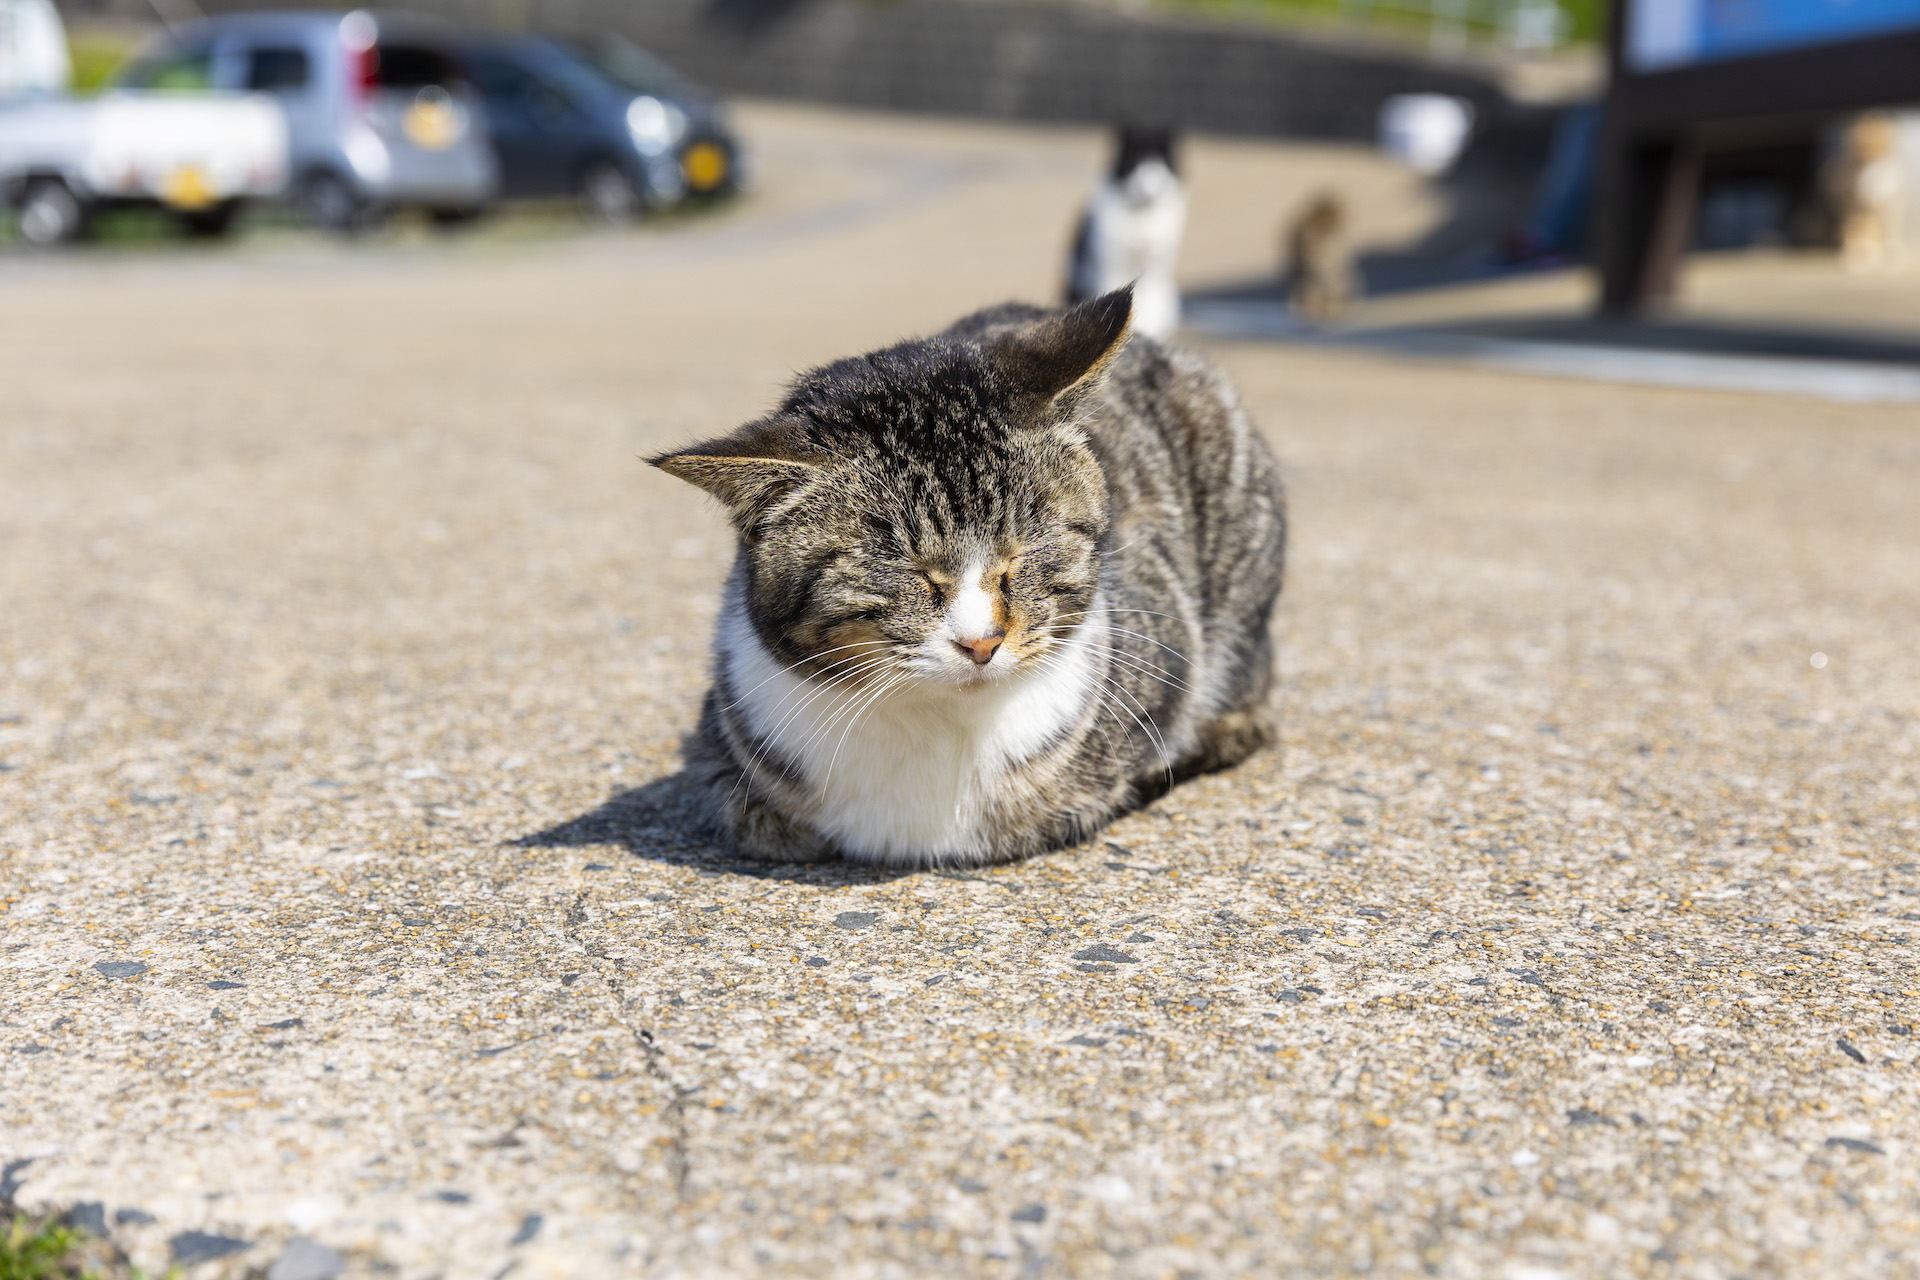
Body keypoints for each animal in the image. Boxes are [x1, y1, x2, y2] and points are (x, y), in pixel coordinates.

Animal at [1067, 126, 1182, 339]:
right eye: (1134, 164)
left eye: (1160, 168)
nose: (1148, 187)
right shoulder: (1111, 261)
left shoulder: (1157, 264)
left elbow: (1152, 305)